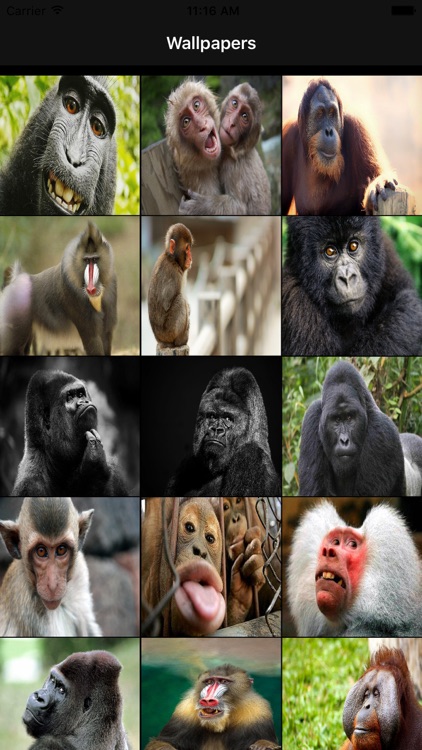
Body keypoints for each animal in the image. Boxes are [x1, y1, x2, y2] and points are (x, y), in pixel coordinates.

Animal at [0, 222, 117, 355]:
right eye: (87, 260)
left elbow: (106, 335)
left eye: (95, 259)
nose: (91, 288)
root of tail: (16, 279)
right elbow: (93, 339)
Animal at [145, 663, 280, 750]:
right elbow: (163, 741)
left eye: (224, 681)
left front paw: (263, 745)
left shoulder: (258, 712)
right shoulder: (184, 711)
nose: (207, 700)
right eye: (209, 682)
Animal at [180, 82, 272, 216]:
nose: (232, 122)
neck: (234, 151)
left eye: (244, 116)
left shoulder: (235, 167)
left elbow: (239, 207)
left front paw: (201, 206)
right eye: (234, 103)